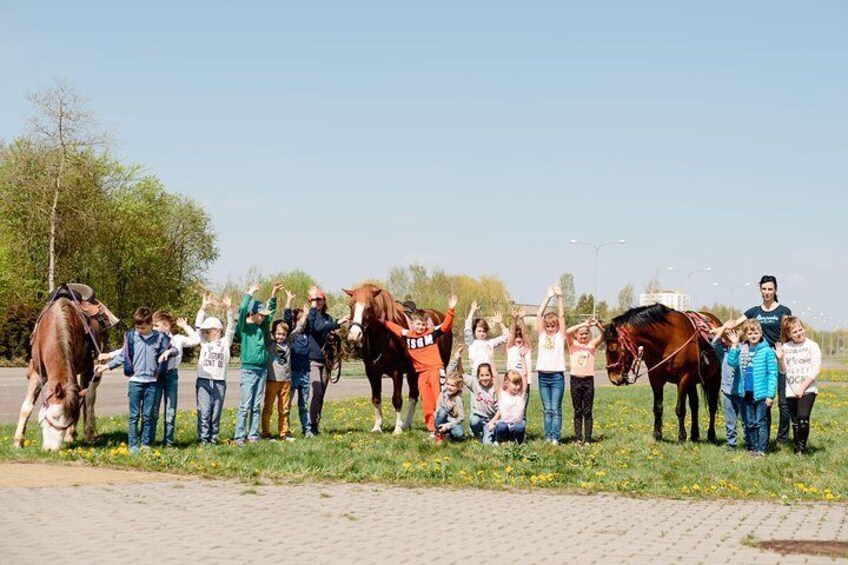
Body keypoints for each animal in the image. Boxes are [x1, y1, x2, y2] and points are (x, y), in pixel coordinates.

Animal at [12, 296, 107, 450]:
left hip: (95, 368)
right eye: (54, 416)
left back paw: (87, 433)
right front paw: (17, 441)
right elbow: (26, 407)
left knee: (90, 398)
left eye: (71, 419)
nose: (51, 449)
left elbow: (87, 399)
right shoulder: (37, 373)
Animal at [342, 284, 454, 434]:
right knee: (413, 395)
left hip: (441, 367)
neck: (383, 335)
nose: (355, 334)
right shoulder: (372, 372)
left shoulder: (397, 372)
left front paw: (397, 429)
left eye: (369, 307)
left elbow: (397, 399)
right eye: (351, 306)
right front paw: (377, 427)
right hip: (413, 373)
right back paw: (406, 424)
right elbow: (376, 398)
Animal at [604, 302, 724, 442]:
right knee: (694, 404)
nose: (613, 378)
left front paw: (681, 436)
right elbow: (658, 408)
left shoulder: (683, 379)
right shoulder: (655, 379)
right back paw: (694, 435)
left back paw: (711, 435)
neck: (667, 340)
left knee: (712, 405)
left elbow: (680, 409)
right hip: (692, 382)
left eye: (613, 349)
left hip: (714, 378)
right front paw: (657, 435)